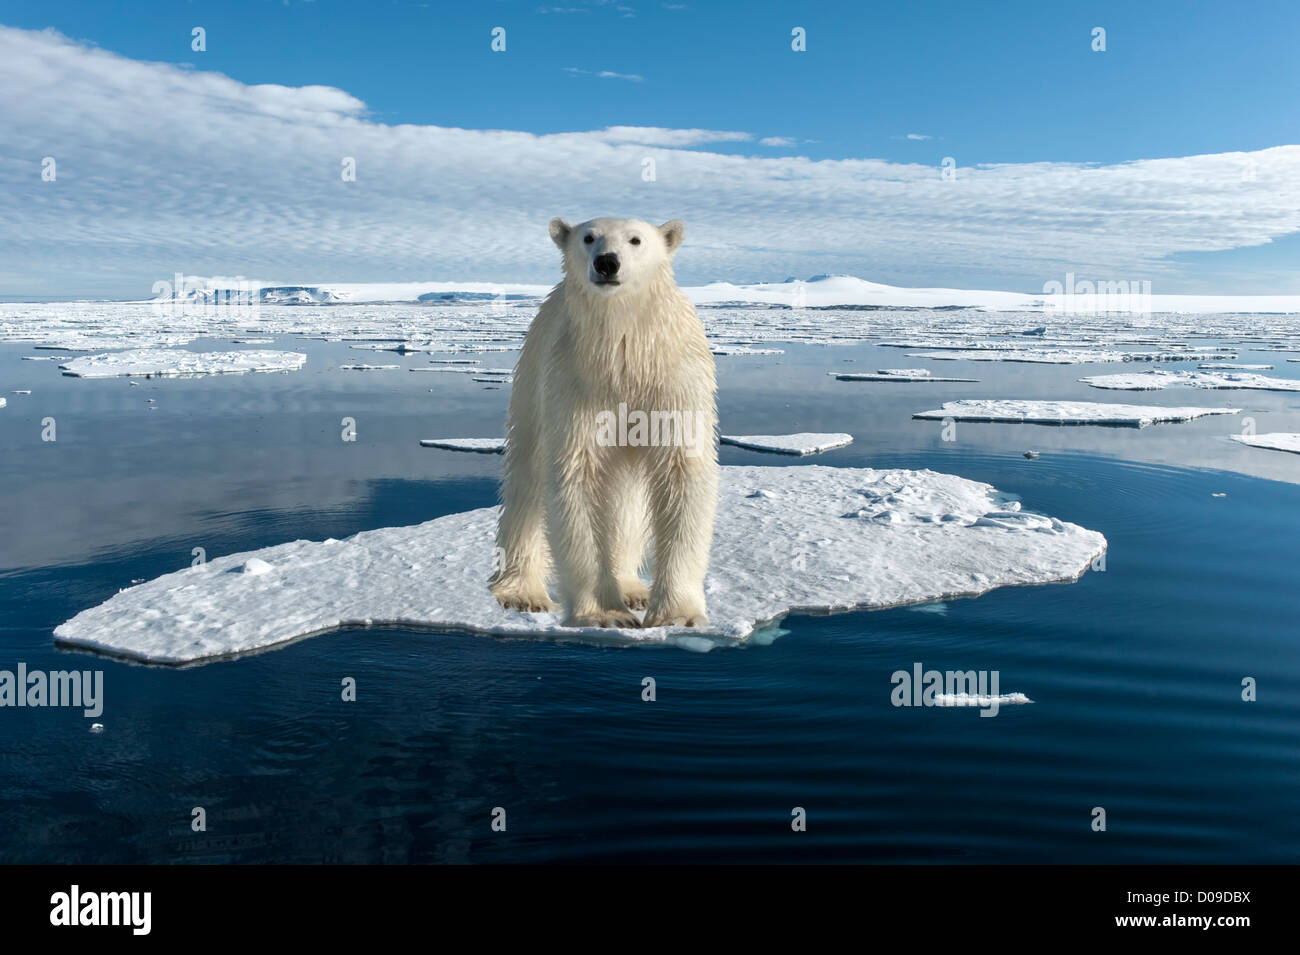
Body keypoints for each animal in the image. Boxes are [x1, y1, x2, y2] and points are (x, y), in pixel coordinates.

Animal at [488, 219, 717, 631]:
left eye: (636, 239)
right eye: (588, 237)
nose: (607, 262)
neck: (624, 353)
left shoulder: (673, 381)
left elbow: (682, 473)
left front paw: (676, 614)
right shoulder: (574, 383)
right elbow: (577, 476)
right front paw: (606, 614)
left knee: (626, 495)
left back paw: (632, 587)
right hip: (531, 377)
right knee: (527, 478)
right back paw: (522, 592)